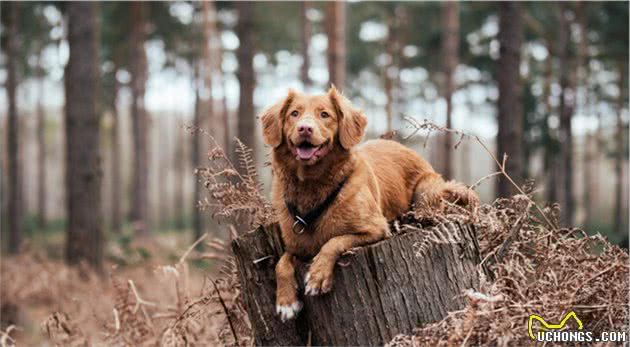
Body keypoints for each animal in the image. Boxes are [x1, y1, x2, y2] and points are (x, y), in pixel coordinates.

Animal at [262, 88, 478, 322]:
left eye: (324, 114)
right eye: (294, 114)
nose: (305, 128)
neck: (312, 186)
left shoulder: (375, 228)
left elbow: (333, 241)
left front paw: (318, 275)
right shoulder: (296, 246)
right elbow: (281, 262)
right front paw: (286, 302)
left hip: (426, 191)